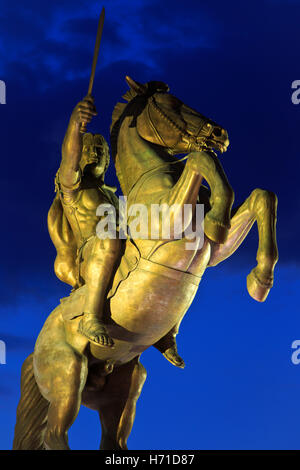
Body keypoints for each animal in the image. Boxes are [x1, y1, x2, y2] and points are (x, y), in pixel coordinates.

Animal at [12, 77, 278, 452]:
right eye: (170, 103)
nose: (220, 133)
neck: (154, 177)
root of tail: (34, 352)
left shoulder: (213, 251)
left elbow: (262, 196)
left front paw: (260, 279)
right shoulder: (170, 226)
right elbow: (200, 158)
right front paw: (220, 214)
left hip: (125, 385)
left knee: (112, 440)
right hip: (68, 376)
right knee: (54, 435)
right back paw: (94, 328)